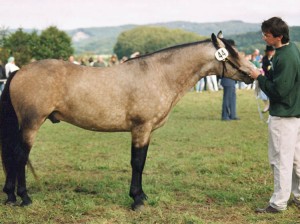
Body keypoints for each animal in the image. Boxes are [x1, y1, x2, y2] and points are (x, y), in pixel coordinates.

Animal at [0, 31, 253, 210]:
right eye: (230, 53)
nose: (254, 74)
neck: (158, 75)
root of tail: (19, 71)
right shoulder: (141, 128)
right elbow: (137, 163)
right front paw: (137, 200)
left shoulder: (146, 131)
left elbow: (141, 162)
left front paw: (141, 196)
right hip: (31, 124)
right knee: (20, 156)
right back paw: (24, 197)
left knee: (13, 156)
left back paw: (10, 196)